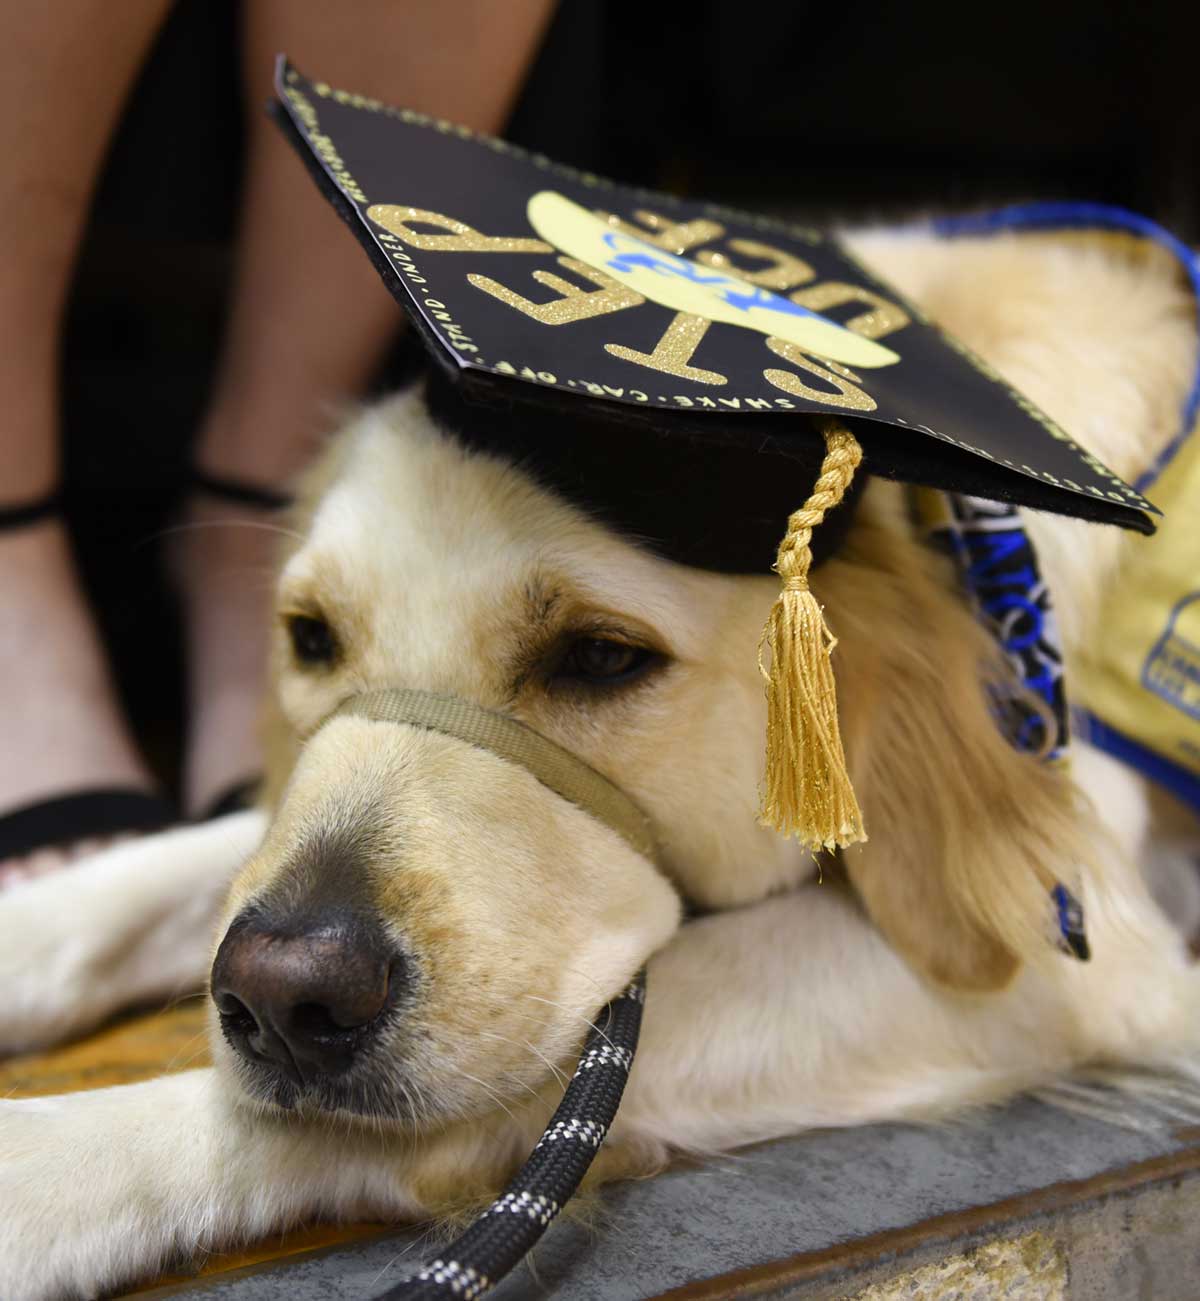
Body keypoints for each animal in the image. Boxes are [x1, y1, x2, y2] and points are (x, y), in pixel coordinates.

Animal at [2, 228, 1197, 1295]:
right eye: (310, 637)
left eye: (603, 656)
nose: (282, 992)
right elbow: (156, 873)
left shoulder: (1067, 956)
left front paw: (44, 1166)